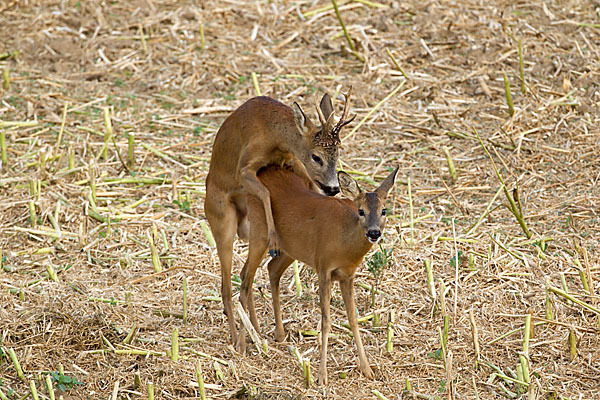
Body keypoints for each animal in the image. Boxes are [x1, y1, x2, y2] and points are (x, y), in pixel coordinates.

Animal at [206, 89, 356, 346]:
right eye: (316, 157)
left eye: (338, 152)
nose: (334, 188)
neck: (274, 135)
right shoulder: (244, 168)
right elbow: (266, 193)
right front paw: (275, 239)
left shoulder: (291, 162)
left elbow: (306, 186)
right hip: (222, 223)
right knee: (227, 286)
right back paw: (237, 339)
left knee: (244, 276)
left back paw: (256, 332)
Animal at [238, 164, 398, 382]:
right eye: (361, 211)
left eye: (384, 210)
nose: (374, 233)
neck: (343, 244)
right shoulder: (323, 268)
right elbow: (326, 322)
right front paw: (322, 376)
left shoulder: (347, 275)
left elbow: (353, 319)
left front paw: (367, 369)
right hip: (260, 233)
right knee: (246, 277)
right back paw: (243, 344)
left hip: (291, 247)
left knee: (268, 269)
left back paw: (274, 334)